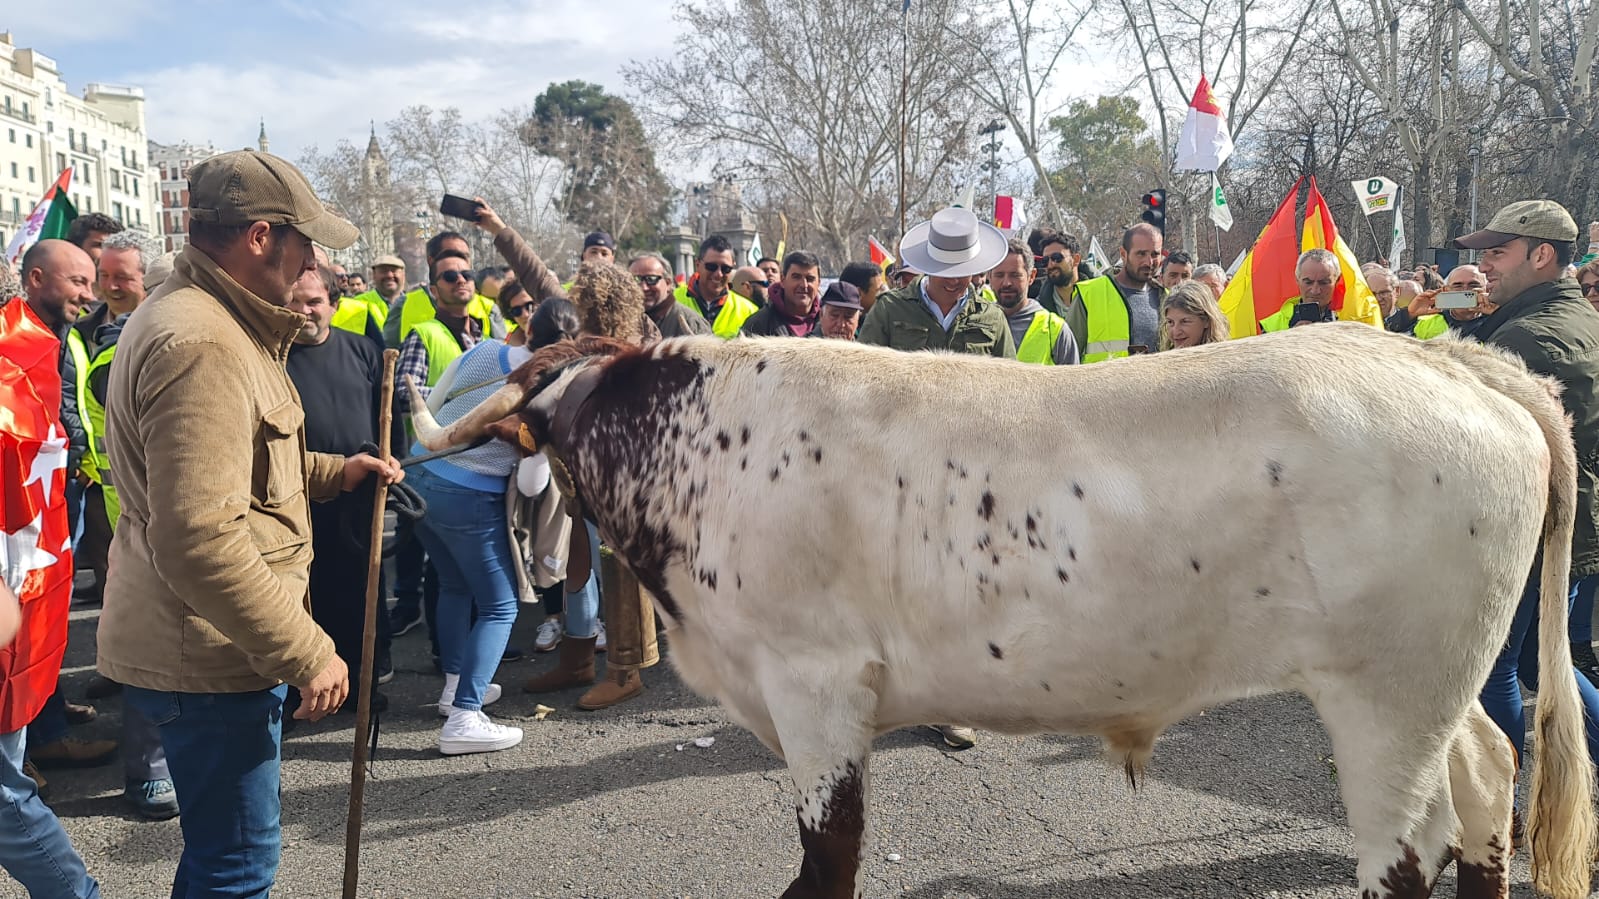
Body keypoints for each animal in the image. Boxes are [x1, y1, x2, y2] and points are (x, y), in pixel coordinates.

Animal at [415, 323, 1599, 895]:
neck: (699, 439)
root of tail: (1450, 358)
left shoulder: (816, 688)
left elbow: (828, 859)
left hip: (1384, 701)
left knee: (1407, 848)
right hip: (1435, 686)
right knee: (1488, 773)